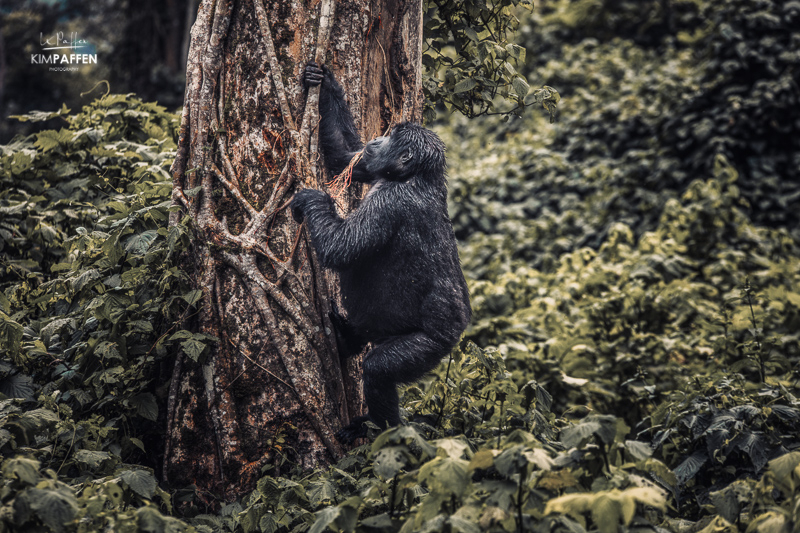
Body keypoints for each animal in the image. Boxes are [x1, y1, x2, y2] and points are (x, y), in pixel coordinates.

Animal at [292, 62, 468, 442]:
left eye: (391, 138)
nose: (377, 139)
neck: (412, 176)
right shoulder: (368, 166)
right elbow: (347, 155)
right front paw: (324, 82)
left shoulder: (388, 203)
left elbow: (343, 248)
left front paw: (313, 198)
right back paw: (348, 340)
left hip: (428, 347)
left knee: (380, 370)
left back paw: (378, 429)